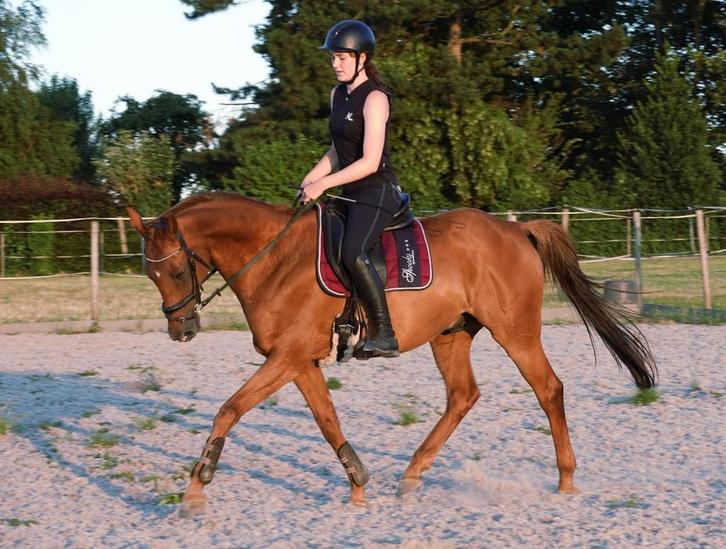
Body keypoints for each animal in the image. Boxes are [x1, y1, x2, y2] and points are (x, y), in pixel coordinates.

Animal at [127, 192, 656, 517]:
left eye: (177, 270)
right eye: (151, 274)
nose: (181, 329)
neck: (273, 258)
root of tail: (516, 231)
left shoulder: (286, 358)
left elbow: (229, 409)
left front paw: (197, 487)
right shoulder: (298, 361)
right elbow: (327, 421)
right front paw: (359, 484)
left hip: (516, 331)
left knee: (548, 389)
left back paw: (565, 479)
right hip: (450, 334)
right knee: (463, 395)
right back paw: (412, 474)